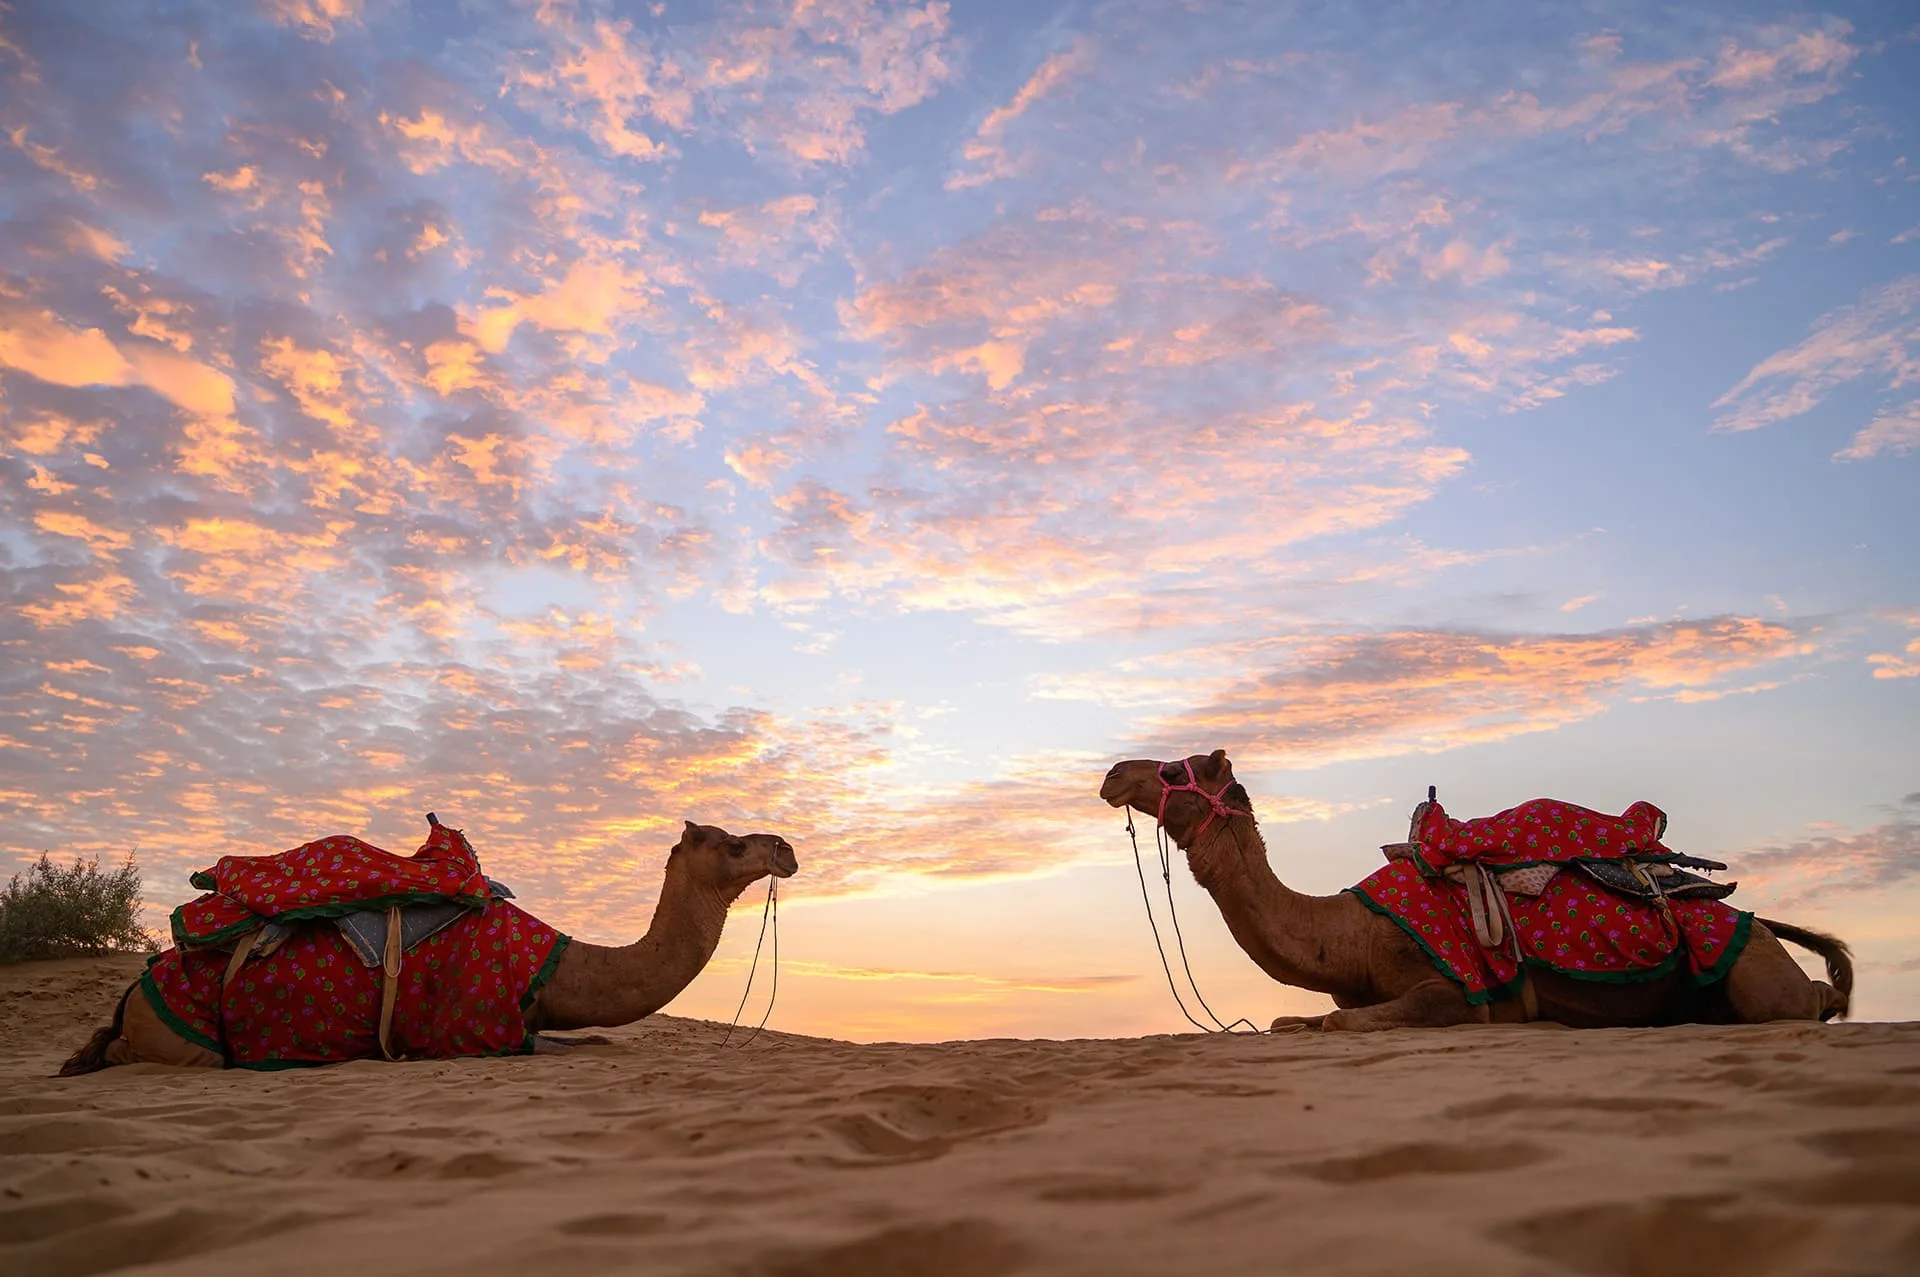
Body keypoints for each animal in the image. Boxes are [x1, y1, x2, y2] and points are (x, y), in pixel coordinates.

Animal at [60, 821, 797, 1072]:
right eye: (734, 844)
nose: (786, 848)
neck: (555, 967)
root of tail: (133, 994)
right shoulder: (477, 1028)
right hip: (181, 1040)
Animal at [1101, 750, 1852, 1031]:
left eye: (1176, 768)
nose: (1111, 774)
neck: (1348, 934)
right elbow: (1297, 1022)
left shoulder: (1452, 987)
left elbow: (1349, 1022)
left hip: (1754, 971)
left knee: (1804, 1000)